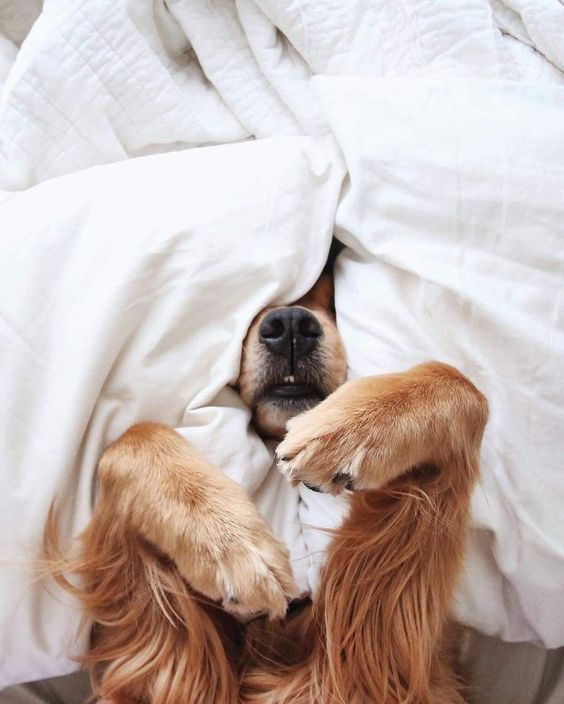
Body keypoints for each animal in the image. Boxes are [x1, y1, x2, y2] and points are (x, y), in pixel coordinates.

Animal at [46, 254, 486, 704]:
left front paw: (348, 428)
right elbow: (130, 437)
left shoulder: (378, 658)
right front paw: (231, 545)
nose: (290, 324)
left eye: (334, 295)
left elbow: (464, 385)